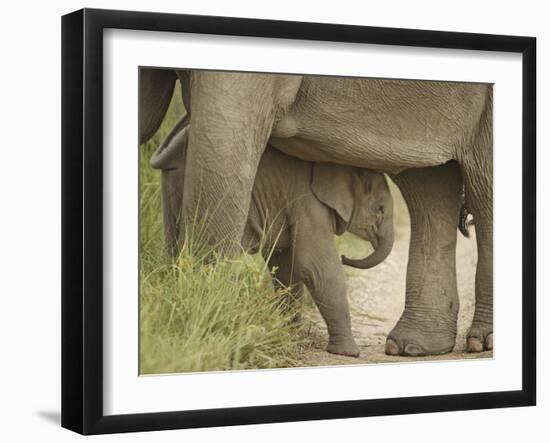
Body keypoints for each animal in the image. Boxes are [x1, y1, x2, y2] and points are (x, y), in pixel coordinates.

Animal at [151, 116, 394, 360]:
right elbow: (315, 265)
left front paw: (291, 333)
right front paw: (349, 353)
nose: (346, 256)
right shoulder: (307, 202)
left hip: (172, 184)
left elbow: (286, 263)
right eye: (380, 209)